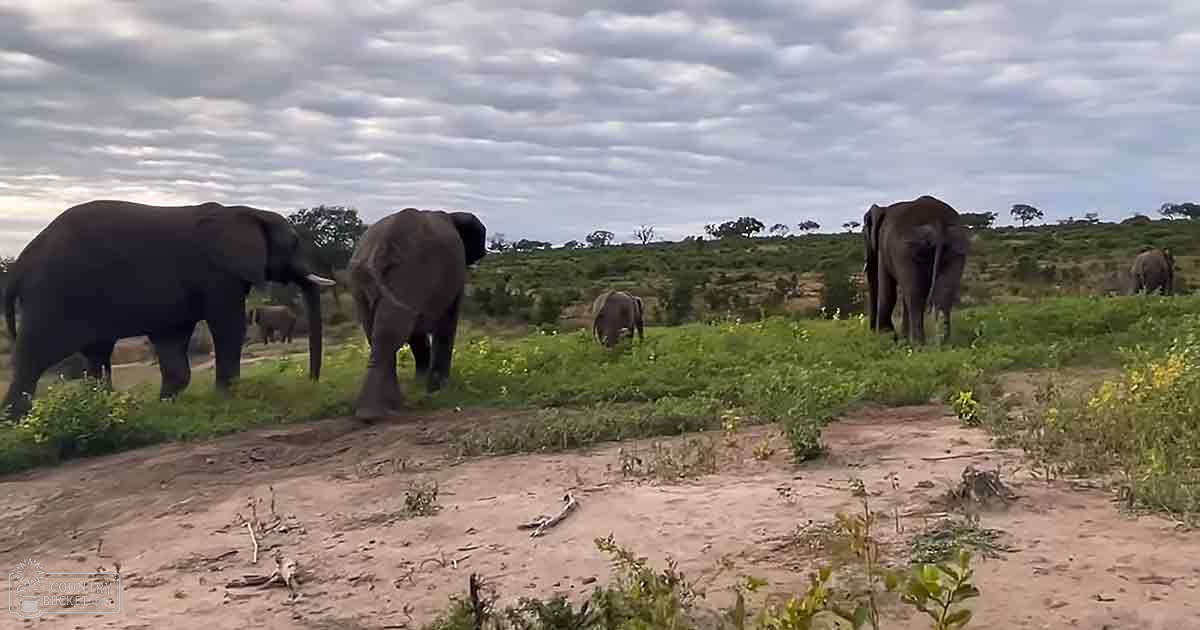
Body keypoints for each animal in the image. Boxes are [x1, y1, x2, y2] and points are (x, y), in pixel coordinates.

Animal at [2, 200, 334, 420]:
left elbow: (172, 340)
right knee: (34, 356)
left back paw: (102, 408)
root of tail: (19, 266)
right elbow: (228, 325)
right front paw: (227, 397)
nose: (312, 382)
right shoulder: (216, 273)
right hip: (55, 296)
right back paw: (15, 422)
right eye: (294, 243)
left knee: (96, 355)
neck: (244, 211)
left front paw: (164, 406)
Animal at [347, 207, 487, 422]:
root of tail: (383, 246)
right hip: (411, 272)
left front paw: (421, 383)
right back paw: (375, 412)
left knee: (379, 333)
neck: (452, 214)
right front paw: (437, 389)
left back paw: (378, 409)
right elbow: (447, 322)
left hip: (364, 280)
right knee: (392, 332)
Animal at [863, 195, 969, 346]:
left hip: (906, 249)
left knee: (914, 296)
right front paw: (899, 339)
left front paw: (889, 338)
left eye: (864, 234)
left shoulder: (883, 250)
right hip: (956, 245)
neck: (883, 209)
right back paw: (941, 344)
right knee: (943, 294)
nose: (872, 332)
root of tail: (938, 221)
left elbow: (887, 292)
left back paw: (919, 345)